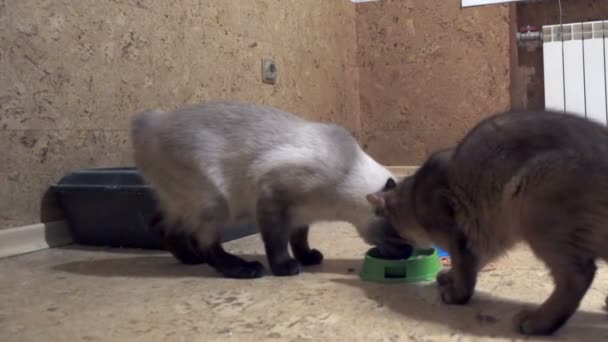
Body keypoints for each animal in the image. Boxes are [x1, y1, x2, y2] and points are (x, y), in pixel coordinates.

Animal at [131, 101, 410, 278]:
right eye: (400, 237)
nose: (407, 254)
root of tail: (153, 120)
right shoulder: (273, 196)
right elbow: (277, 241)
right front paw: (285, 268)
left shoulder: (301, 215)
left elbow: (299, 239)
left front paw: (307, 258)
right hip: (216, 203)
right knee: (204, 243)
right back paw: (244, 269)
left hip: (182, 203)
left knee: (160, 225)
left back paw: (189, 260)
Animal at [368, 110, 608, 336]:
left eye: (390, 235)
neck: (414, 194)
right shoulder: (487, 237)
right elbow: (472, 264)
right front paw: (449, 277)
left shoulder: (456, 234)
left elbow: (464, 267)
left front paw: (457, 294)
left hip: (533, 201)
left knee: (579, 276)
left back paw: (539, 322)